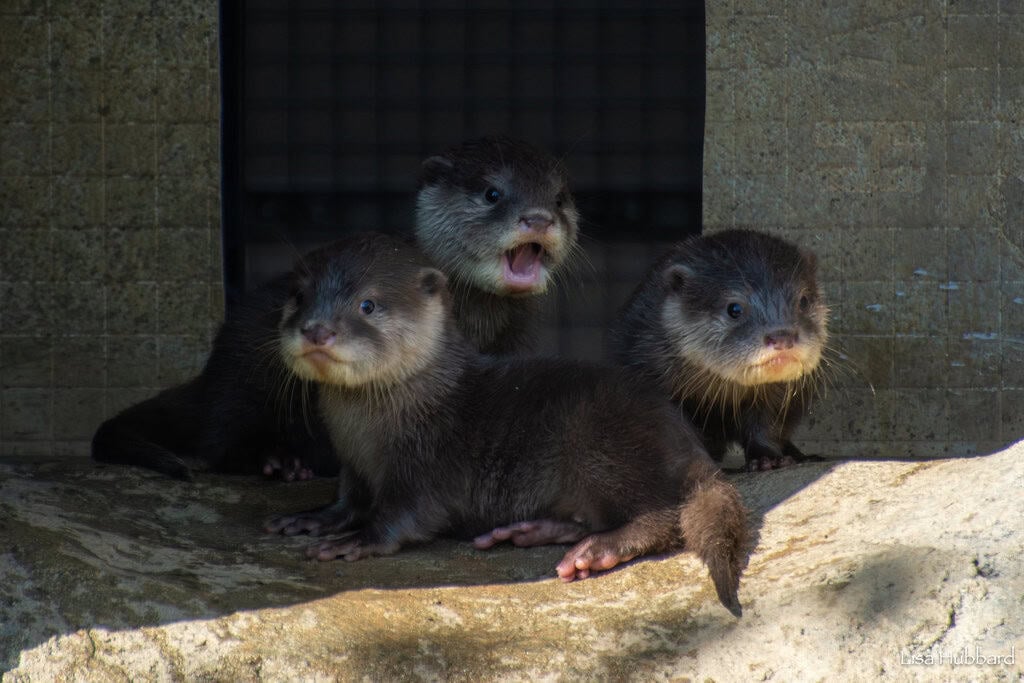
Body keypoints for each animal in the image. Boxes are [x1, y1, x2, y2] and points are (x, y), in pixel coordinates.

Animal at [92, 136, 580, 480]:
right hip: (244, 374)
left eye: (558, 199)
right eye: (493, 193)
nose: (538, 218)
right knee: (221, 440)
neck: (473, 322)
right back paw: (278, 461)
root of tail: (208, 373)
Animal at [266, 233, 749, 616]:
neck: (369, 433)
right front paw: (315, 518)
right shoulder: (351, 465)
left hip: (603, 444)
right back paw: (536, 530)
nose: (317, 330)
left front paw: (357, 539)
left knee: (664, 517)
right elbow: (346, 499)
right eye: (298, 297)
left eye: (367, 304)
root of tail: (684, 439)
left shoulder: (426, 466)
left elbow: (404, 518)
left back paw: (599, 549)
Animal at [609, 229, 828, 471]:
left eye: (803, 301)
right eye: (734, 308)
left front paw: (767, 458)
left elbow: (766, 427)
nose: (782, 336)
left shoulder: (775, 398)